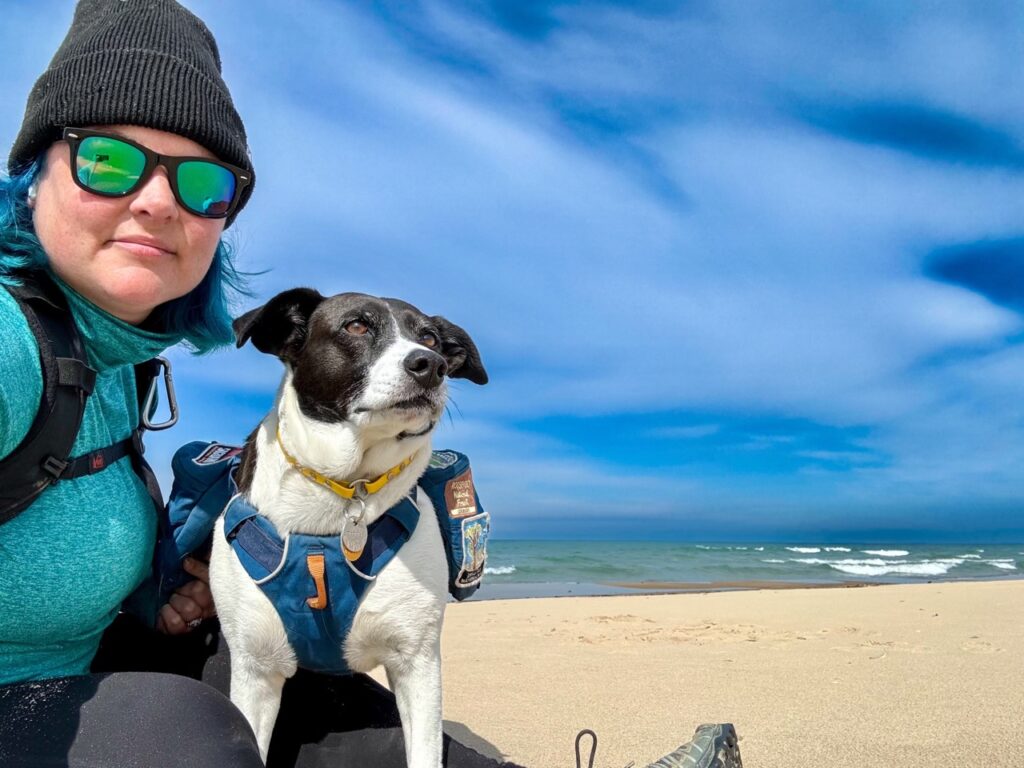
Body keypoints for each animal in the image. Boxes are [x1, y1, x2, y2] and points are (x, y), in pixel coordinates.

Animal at [207, 290, 487, 768]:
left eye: (430, 337)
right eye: (356, 326)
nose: (431, 364)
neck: (341, 498)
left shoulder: (417, 662)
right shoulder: (255, 671)